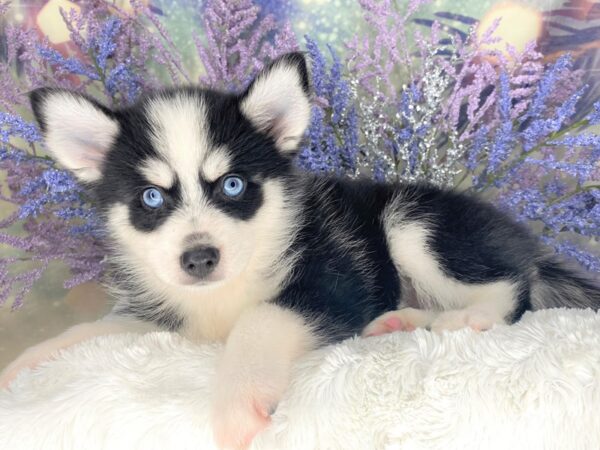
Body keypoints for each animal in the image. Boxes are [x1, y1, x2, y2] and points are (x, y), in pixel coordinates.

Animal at [2, 51, 596, 446]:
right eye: (151, 197)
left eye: (233, 186)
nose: (199, 258)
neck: (225, 292)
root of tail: (519, 238)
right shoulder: (167, 318)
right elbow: (96, 330)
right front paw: (28, 359)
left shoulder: (334, 281)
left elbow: (261, 319)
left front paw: (237, 403)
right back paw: (402, 322)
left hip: (412, 223)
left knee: (509, 287)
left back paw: (470, 317)